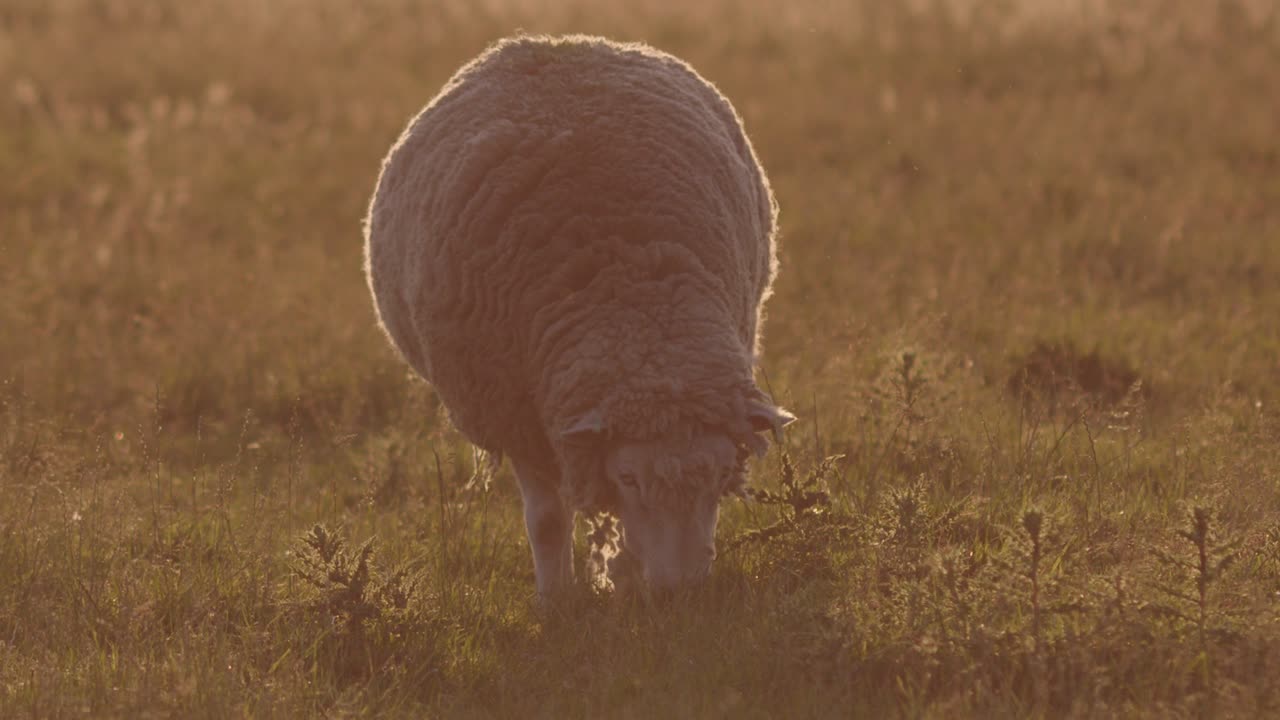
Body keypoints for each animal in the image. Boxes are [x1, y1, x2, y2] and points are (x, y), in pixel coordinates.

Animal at [364, 34, 794, 598]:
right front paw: (556, 601)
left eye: (724, 475)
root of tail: (557, 43)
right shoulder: (519, 415)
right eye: (629, 477)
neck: (638, 308)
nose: (680, 590)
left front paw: (624, 579)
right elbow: (548, 520)